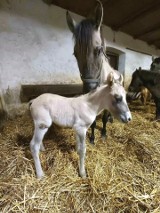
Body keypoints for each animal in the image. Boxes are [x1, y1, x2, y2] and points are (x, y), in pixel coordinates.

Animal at [65, 0, 123, 144]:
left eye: (99, 50)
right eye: (75, 53)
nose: (89, 88)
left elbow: (103, 118)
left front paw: (103, 133)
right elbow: (93, 122)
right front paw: (91, 137)